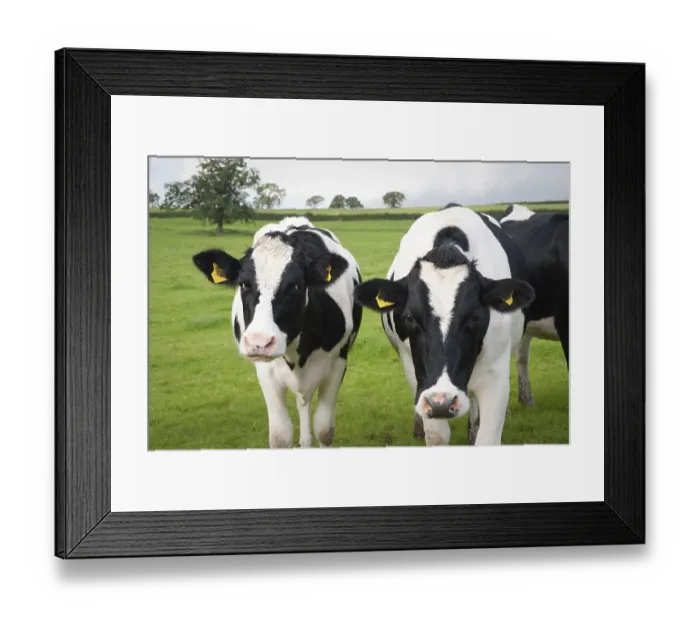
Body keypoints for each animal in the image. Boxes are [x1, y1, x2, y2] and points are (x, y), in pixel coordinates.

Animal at [192, 216, 363, 449]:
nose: (259, 342)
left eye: (295, 286)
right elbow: (280, 436)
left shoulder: (338, 363)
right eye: (243, 284)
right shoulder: (266, 371)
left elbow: (324, 429)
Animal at [353, 204, 535, 447]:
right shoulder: (419, 376)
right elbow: (437, 435)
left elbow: (487, 438)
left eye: (475, 317)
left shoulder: (496, 374)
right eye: (409, 317)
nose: (442, 402)